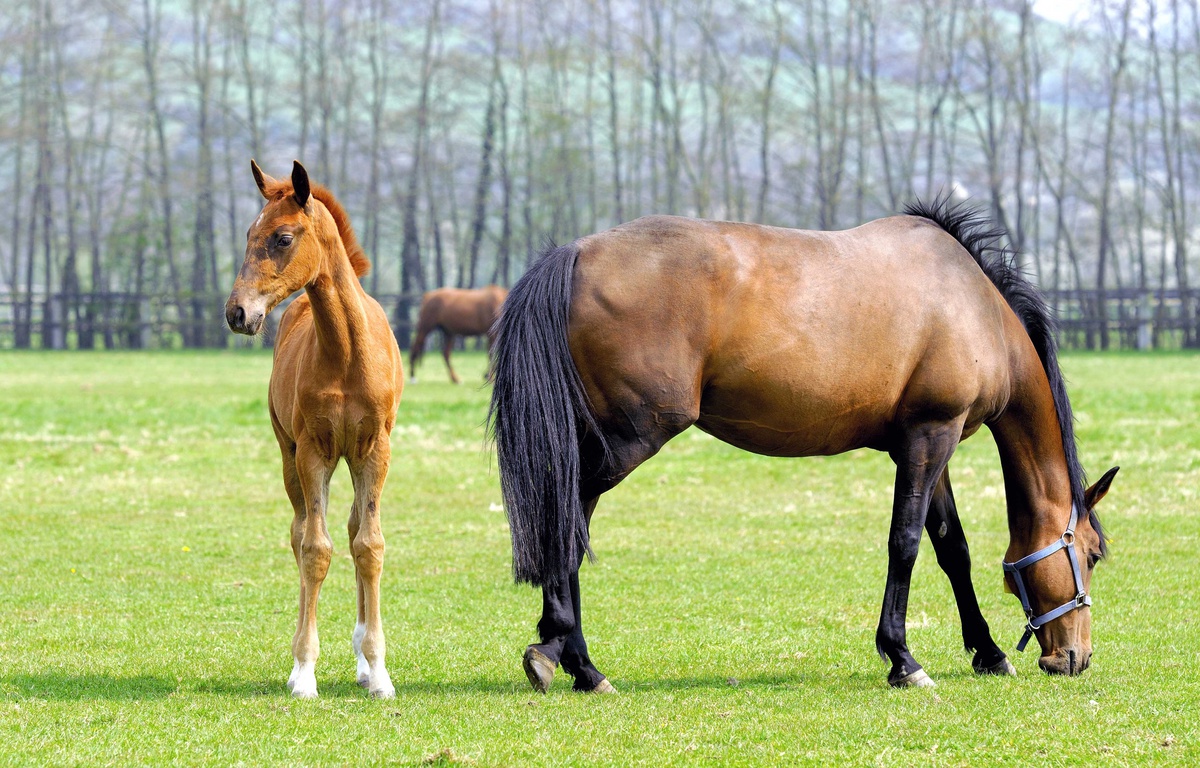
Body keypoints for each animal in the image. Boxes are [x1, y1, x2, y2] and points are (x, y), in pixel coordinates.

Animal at [226, 158, 405, 700]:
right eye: (249, 234)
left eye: (282, 238)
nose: (237, 313)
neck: (346, 352)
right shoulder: (312, 452)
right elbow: (314, 549)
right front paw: (304, 671)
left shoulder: (375, 450)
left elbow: (368, 546)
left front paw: (379, 671)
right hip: (289, 457)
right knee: (301, 531)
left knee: (351, 529)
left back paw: (363, 660)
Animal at [487, 201, 1113, 691]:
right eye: (1091, 555)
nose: (1075, 658)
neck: (974, 307)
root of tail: (575, 252)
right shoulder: (930, 438)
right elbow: (906, 543)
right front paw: (903, 658)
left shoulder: (931, 444)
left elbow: (950, 547)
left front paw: (988, 652)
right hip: (629, 438)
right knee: (566, 518)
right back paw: (567, 657)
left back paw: (574, 662)